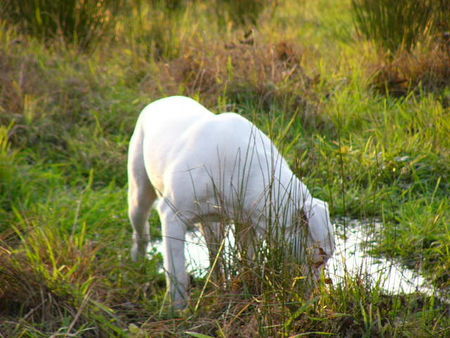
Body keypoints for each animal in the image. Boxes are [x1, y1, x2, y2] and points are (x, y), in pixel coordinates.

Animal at [126, 95, 334, 308]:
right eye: (320, 259)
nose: (317, 299)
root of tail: (161, 101)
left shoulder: (247, 222)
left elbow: (247, 260)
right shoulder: (173, 218)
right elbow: (177, 274)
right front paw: (178, 309)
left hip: (212, 224)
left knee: (215, 252)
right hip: (138, 195)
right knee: (140, 229)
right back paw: (138, 261)